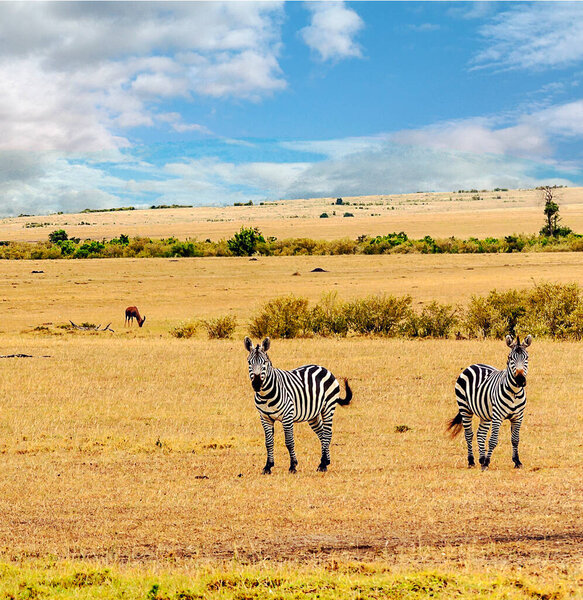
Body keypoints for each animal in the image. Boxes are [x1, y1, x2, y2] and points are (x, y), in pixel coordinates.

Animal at [245, 338, 354, 474]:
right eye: (249, 362)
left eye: (264, 362)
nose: (256, 384)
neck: (266, 395)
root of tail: (323, 368)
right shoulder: (265, 418)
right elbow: (268, 443)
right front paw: (268, 466)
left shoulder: (287, 416)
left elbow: (289, 442)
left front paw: (293, 466)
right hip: (313, 414)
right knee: (322, 434)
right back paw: (325, 461)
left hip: (328, 408)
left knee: (328, 434)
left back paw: (323, 464)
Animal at [448, 336, 532, 472]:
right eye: (510, 357)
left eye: (527, 357)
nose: (520, 380)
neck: (514, 392)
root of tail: (474, 365)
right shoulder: (497, 416)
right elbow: (493, 440)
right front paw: (487, 463)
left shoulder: (518, 417)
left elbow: (515, 439)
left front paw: (517, 462)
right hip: (464, 408)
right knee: (469, 434)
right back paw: (471, 461)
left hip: (485, 414)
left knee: (480, 434)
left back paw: (481, 459)